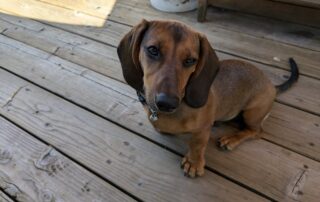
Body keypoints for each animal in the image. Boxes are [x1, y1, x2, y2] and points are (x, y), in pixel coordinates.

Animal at [116, 19, 298, 178]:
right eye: (153, 50)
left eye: (190, 60)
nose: (167, 103)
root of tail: (272, 85)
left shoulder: (203, 129)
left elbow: (197, 144)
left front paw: (194, 163)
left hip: (252, 113)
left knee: (256, 132)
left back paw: (232, 139)